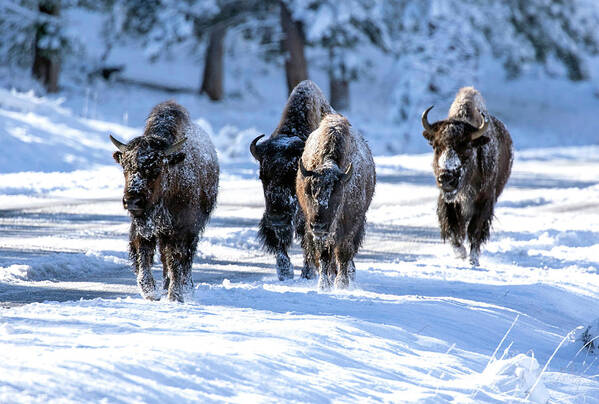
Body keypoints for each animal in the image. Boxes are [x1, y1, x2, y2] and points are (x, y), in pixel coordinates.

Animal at [110, 101, 218, 304]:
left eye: (156, 168)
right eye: (125, 167)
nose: (132, 201)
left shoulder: (181, 229)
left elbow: (176, 260)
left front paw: (175, 296)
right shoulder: (144, 228)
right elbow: (144, 256)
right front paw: (151, 292)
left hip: (192, 230)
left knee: (185, 259)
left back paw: (185, 287)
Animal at [248, 79, 332, 280]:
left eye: (293, 175)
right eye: (262, 176)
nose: (278, 217)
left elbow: (307, 237)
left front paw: (307, 273)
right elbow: (279, 241)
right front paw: (284, 272)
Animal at [296, 113, 376, 290]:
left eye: (337, 194)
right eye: (308, 191)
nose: (318, 225)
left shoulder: (350, 224)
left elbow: (344, 253)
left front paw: (342, 284)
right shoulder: (318, 231)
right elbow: (324, 255)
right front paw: (323, 285)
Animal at [422, 87, 516, 266]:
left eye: (466, 147)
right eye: (436, 146)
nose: (446, 179)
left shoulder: (484, 201)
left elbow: (475, 230)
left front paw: (473, 260)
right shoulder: (448, 202)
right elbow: (453, 230)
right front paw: (461, 254)